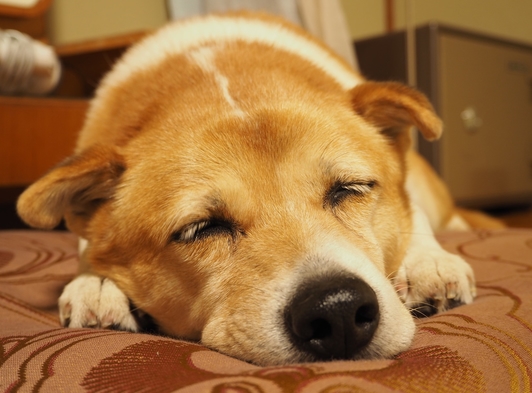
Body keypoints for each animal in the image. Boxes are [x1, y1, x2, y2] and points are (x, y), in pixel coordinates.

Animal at [16, 10, 498, 364]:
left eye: (350, 189)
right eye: (201, 228)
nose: (338, 310)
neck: (222, 73)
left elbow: (412, 217)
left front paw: (428, 262)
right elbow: (88, 246)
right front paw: (96, 281)